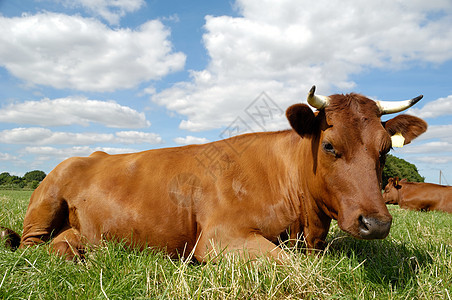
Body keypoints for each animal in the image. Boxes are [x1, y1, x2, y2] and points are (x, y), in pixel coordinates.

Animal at [0, 86, 428, 262]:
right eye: (329, 146)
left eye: (386, 149)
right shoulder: (220, 237)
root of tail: (90, 153)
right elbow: (288, 265)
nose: (376, 223)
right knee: (29, 247)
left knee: (64, 242)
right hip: (45, 201)